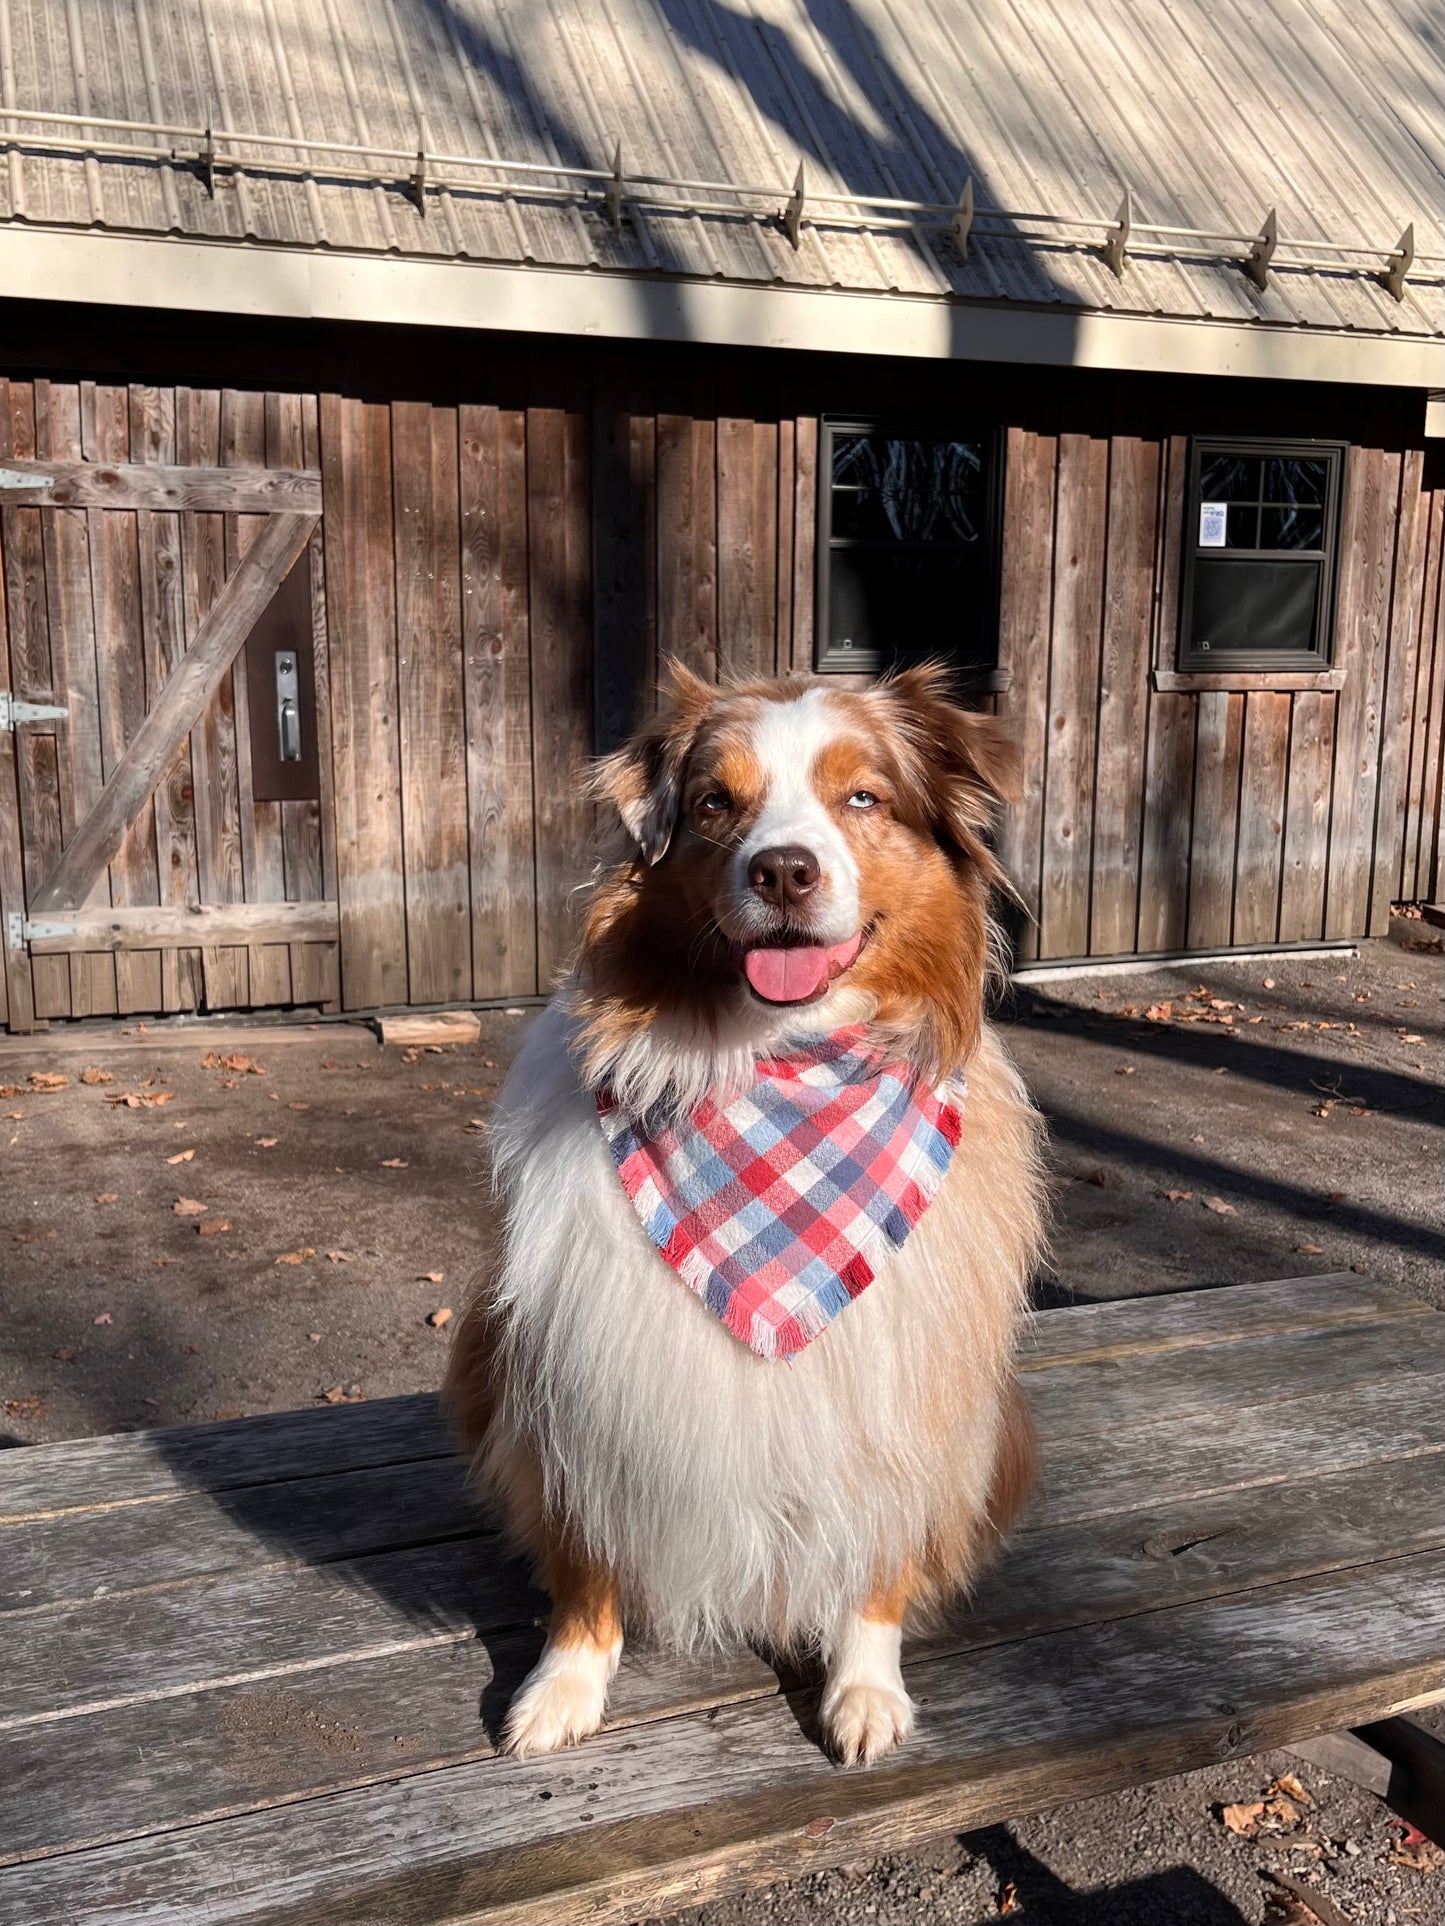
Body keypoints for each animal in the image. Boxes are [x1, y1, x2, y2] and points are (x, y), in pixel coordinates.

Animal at [446, 658, 1048, 1764]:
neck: (771, 1064)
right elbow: (585, 1556)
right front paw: (564, 1683)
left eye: (864, 798)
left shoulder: (904, 1387)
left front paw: (865, 1685)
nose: (782, 874)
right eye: (715, 804)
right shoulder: (576, 1368)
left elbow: (878, 1549)